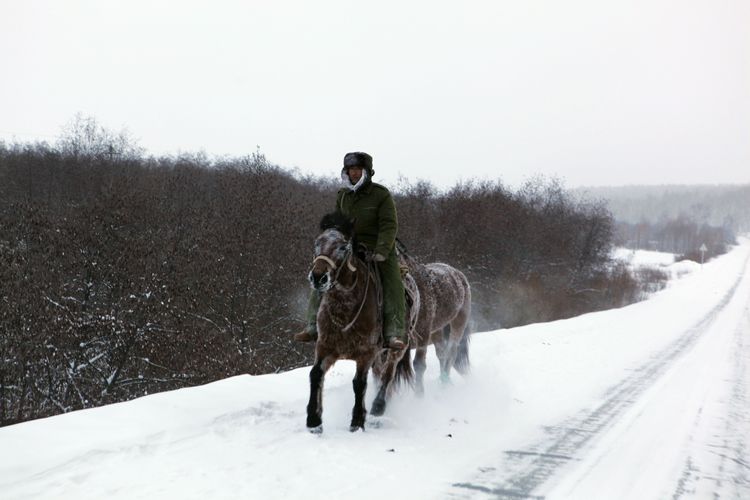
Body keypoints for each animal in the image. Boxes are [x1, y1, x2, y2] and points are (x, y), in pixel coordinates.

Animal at [306, 213, 424, 432]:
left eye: (343, 247)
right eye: (317, 243)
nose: (318, 277)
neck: (344, 308)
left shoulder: (365, 353)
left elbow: (359, 383)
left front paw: (357, 421)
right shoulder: (325, 347)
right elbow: (315, 374)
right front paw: (314, 420)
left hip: (397, 347)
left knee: (388, 373)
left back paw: (378, 406)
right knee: (380, 374)